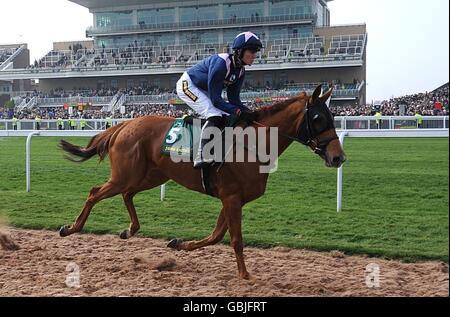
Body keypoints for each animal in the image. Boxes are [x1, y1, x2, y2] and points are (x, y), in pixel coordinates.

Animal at [57, 84, 344, 278]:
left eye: (331, 116)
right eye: (317, 118)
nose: (338, 157)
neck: (253, 143)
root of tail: (122, 125)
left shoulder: (232, 198)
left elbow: (216, 236)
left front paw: (179, 244)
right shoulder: (231, 197)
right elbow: (235, 239)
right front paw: (245, 275)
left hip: (151, 175)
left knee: (127, 194)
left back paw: (130, 229)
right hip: (125, 175)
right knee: (95, 192)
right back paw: (71, 228)